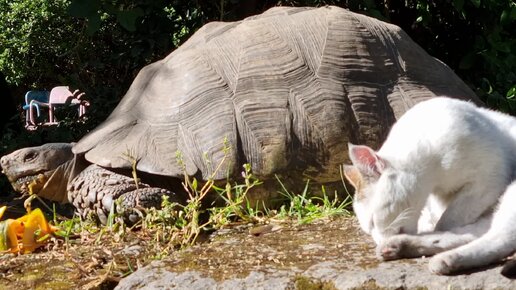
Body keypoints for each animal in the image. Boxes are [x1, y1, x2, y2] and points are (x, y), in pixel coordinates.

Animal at [342, 97, 516, 274]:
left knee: (499, 238)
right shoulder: (438, 200)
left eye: (372, 222)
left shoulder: (487, 181)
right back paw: (399, 246)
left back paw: (445, 259)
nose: (378, 240)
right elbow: (444, 223)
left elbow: (447, 221)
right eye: (368, 230)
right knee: (476, 233)